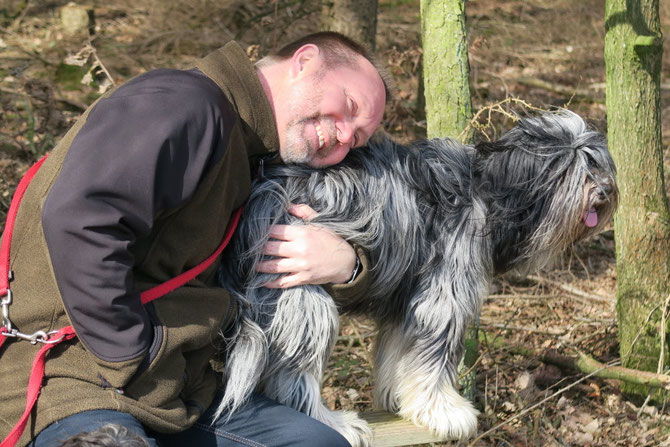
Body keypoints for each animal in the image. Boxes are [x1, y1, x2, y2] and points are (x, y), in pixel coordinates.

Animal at [215, 110, 620, 446]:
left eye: (598, 164)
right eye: (569, 167)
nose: (604, 191)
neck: (487, 191)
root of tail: (264, 193)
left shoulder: (407, 297)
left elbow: (400, 354)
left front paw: (400, 400)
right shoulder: (443, 296)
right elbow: (435, 359)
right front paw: (445, 411)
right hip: (303, 296)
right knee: (292, 375)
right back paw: (334, 422)